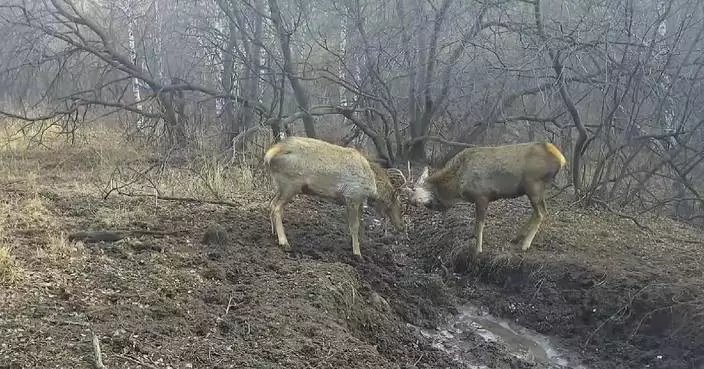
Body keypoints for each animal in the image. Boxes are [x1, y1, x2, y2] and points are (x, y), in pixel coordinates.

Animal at [264, 134, 408, 258]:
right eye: (398, 203)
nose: (401, 226)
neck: (373, 188)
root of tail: (270, 153)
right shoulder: (352, 195)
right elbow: (354, 225)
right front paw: (357, 253)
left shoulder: (359, 201)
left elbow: (360, 225)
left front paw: (362, 245)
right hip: (290, 184)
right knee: (277, 207)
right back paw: (284, 242)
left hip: (280, 186)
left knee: (271, 203)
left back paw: (273, 232)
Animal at [402, 141, 568, 253]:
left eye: (414, 190)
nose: (413, 203)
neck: (457, 186)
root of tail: (561, 159)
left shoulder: (482, 195)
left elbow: (479, 224)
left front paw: (478, 249)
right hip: (535, 188)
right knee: (538, 211)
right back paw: (516, 237)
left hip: (533, 184)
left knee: (541, 212)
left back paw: (525, 244)